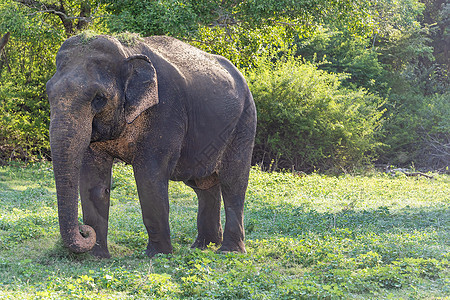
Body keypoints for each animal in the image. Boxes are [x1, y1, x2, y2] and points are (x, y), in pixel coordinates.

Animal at [46, 33, 256, 258]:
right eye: (48, 94)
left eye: (99, 98)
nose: (84, 231)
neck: (126, 53)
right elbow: (93, 183)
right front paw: (97, 257)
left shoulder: (164, 112)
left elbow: (149, 177)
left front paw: (158, 255)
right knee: (203, 185)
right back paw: (203, 246)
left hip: (244, 122)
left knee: (233, 182)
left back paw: (229, 251)